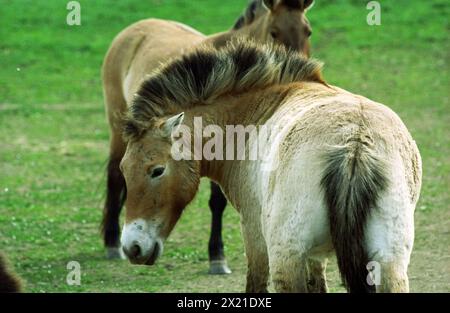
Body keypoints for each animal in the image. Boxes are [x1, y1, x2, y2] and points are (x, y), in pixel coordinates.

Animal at [101, 0, 316, 272]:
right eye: (274, 32)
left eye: (308, 31)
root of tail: (134, 29)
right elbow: (217, 202)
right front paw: (217, 256)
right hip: (116, 128)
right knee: (114, 177)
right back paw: (111, 243)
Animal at [118, 39, 422, 292]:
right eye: (123, 169)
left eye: (157, 170)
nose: (132, 248)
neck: (255, 113)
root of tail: (353, 144)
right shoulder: (315, 257)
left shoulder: (254, 233)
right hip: (389, 263)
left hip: (286, 259)